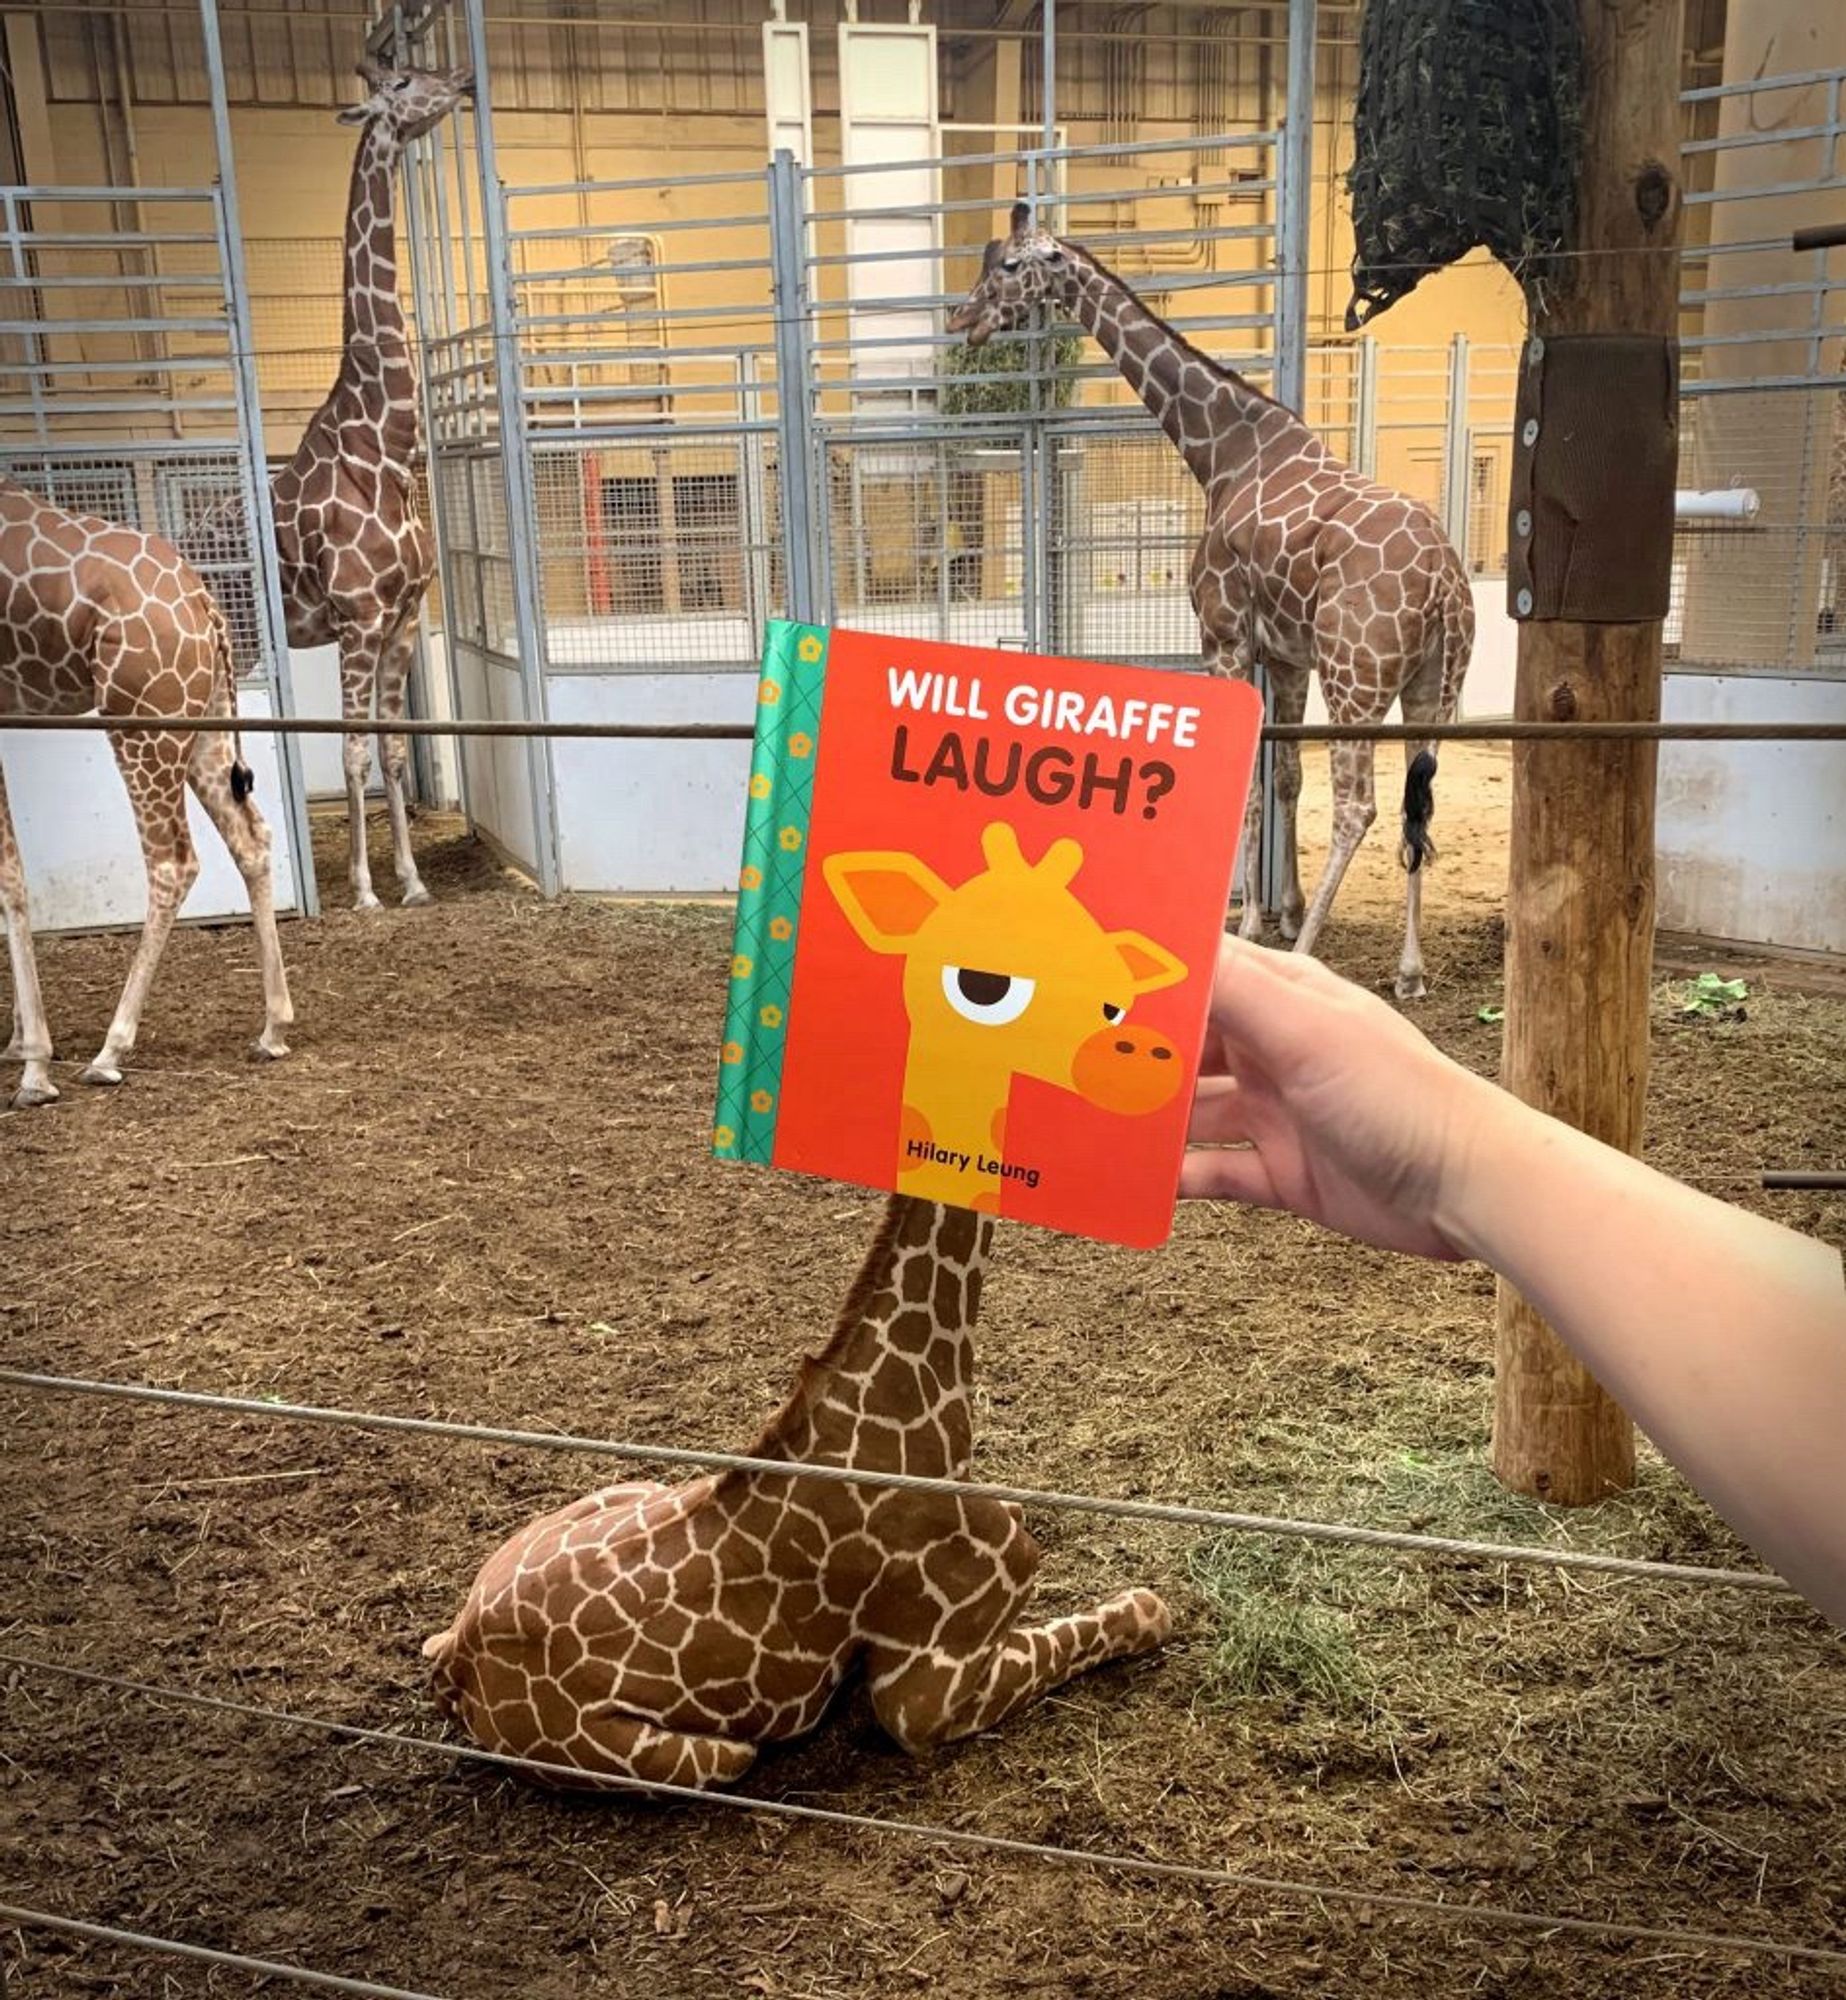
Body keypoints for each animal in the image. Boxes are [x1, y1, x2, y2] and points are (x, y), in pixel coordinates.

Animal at [0, 478, 292, 1120]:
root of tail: (204, 604)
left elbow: (9, 877)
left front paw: (34, 1063)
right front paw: (15, 1042)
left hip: (141, 720)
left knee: (172, 861)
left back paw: (110, 1050)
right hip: (201, 718)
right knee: (251, 837)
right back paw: (273, 1028)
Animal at [426, 1192, 1168, 1792]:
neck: (918, 1409)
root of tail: (454, 1661)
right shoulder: (924, 1692)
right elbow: (1138, 1611)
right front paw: (1150, 1605)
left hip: (634, 1485)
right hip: (702, 1758)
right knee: (733, 1757)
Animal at [952, 211, 1472, 1000]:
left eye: (1010, 266)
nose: (964, 319)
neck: (1222, 450)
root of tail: (1444, 577)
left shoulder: (1224, 637)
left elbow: (1252, 789)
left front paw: (1255, 924)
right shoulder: (1286, 656)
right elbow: (1283, 780)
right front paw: (1283, 910)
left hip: (1356, 679)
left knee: (1359, 805)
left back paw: (1308, 959)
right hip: (1430, 686)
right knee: (1420, 800)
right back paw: (1409, 970)